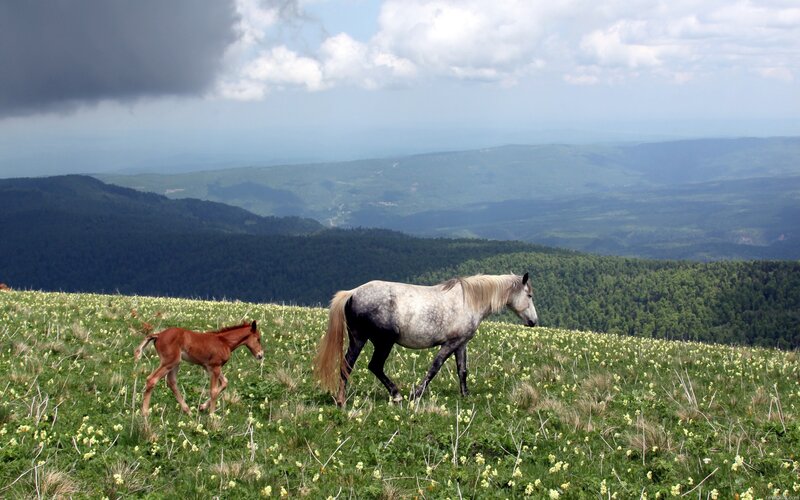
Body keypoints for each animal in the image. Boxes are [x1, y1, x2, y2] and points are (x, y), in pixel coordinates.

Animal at [134, 321, 263, 416]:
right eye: (258, 338)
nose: (260, 355)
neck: (224, 342)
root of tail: (158, 335)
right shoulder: (215, 367)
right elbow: (214, 391)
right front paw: (212, 417)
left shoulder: (210, 368)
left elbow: (225, 383)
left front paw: (202, 407)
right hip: (169, 362)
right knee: (152, 380)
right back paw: (145, 413)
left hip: (175, 363)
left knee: (171, 382)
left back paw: (188, 411)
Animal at [314, 273, 538, 406]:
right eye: (529, 295)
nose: (534, 321)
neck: (469, 300)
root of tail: (353, 293)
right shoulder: (451, 343)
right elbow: (435, 366)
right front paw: (417, 393)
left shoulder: (461, 343)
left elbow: (462, 370)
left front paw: (465, 395)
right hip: (384, 342)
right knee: (375, 365)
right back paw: (396, 394)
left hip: (358, 339)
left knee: (347, 365)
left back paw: (341, 400)